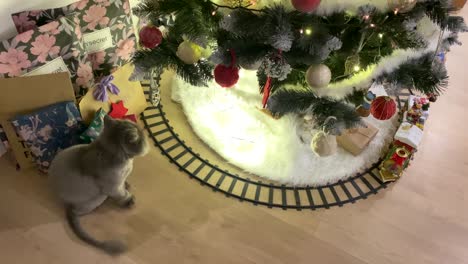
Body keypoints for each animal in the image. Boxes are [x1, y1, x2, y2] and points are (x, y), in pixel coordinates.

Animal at [49, 115, 148, 254]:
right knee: (79, 212)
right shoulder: (113, 188)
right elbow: (124, 194)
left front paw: (128, 185)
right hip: (100, 196)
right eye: (142, 136)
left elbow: (124, 185)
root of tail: (66, 204)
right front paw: (129, 200)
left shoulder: (120, 181)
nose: (145, 133)